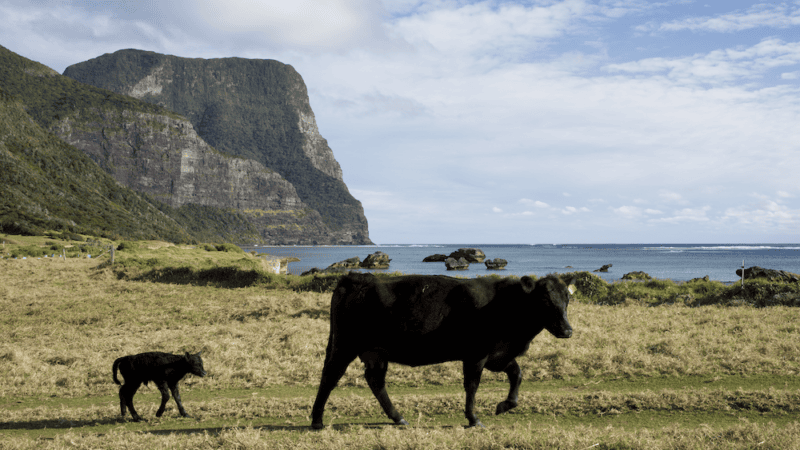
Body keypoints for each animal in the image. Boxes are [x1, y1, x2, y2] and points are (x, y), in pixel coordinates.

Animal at [310, 272, 572, 428]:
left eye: (567, 300)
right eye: (545, 299)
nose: (567, 330)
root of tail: (357, 277)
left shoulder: (498, 355)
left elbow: (517, 375)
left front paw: (504, 405)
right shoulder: (476, 355)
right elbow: (472, 386)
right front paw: (473, 419)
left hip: (376, 353)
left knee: (375, 381)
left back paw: (398, 417)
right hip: (345, 345)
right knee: (330, 376)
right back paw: (317, 420)